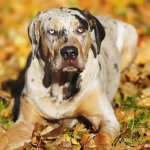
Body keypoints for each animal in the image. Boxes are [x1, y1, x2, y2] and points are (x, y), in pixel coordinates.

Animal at [0, 7, 138, 149]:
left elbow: (103, 136)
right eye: (51, 31)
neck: (60, 86)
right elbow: (5, 137)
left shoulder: (106, 117)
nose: (70, 52)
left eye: (80, 29)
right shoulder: (25, 123)